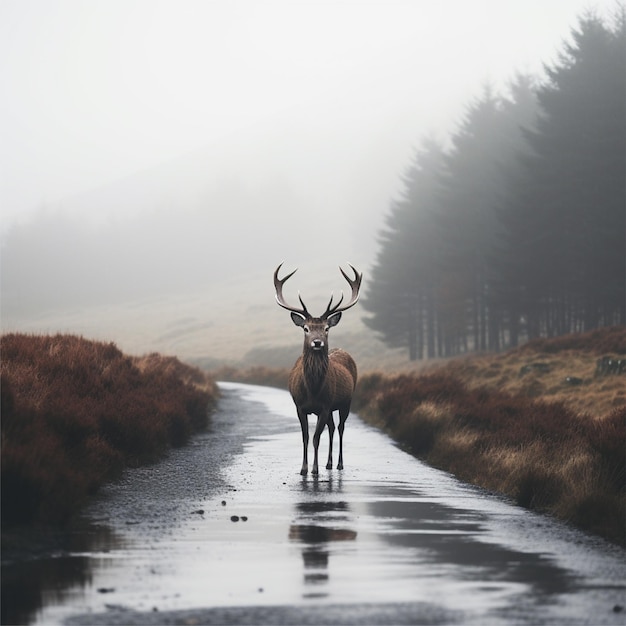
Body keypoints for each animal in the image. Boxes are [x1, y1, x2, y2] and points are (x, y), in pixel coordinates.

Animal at [272, 262, 360, 472]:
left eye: (327, 328)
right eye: (306, 328)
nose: (317, 342)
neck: (312, 390)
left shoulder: (325, 406)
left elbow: (315, 438)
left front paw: (314, 469)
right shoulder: (299, 406)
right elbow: (305, 437)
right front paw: (303, 468)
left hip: (346, 401)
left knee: (340, 428)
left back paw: (338, 464)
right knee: (332, 427)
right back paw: (328, 463)